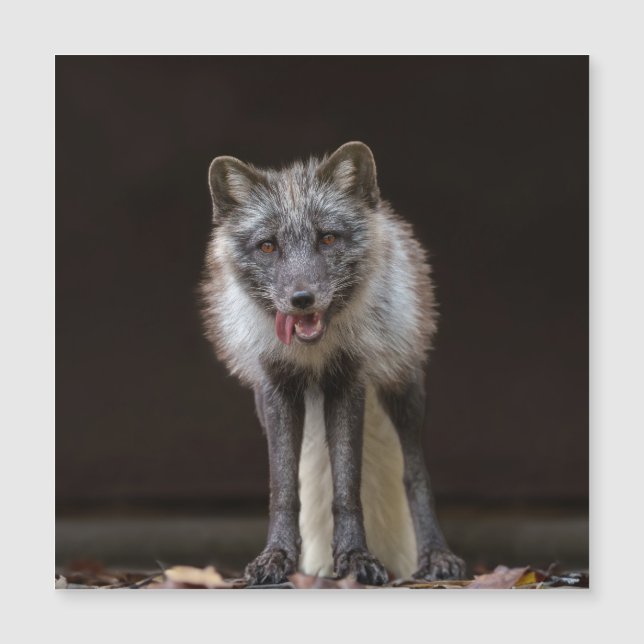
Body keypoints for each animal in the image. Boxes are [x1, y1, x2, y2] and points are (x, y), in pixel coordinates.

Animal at [201, 141, 465, 585]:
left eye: (327, 238)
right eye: (268, 246)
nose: (301, 299)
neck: (314, 354)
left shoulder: (347, 383)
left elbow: (347, 487)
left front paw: (356, 558)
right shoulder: (278, 390)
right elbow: (284, 489)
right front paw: (277, 557)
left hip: (403, 390)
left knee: (414, 475)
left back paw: (436, 556)